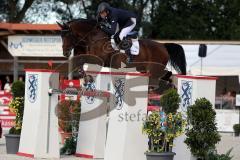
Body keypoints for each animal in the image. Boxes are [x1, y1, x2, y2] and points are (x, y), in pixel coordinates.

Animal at [57, 19, 187, 82]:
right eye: (61, 36)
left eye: (68, 35)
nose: (65, 53)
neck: (94, 38)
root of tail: (163, 46)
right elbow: (79, 65)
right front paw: (84, 77)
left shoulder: (99, 61)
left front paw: (87, 78)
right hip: (143, 69)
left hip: (155, 67)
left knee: (166, 74)